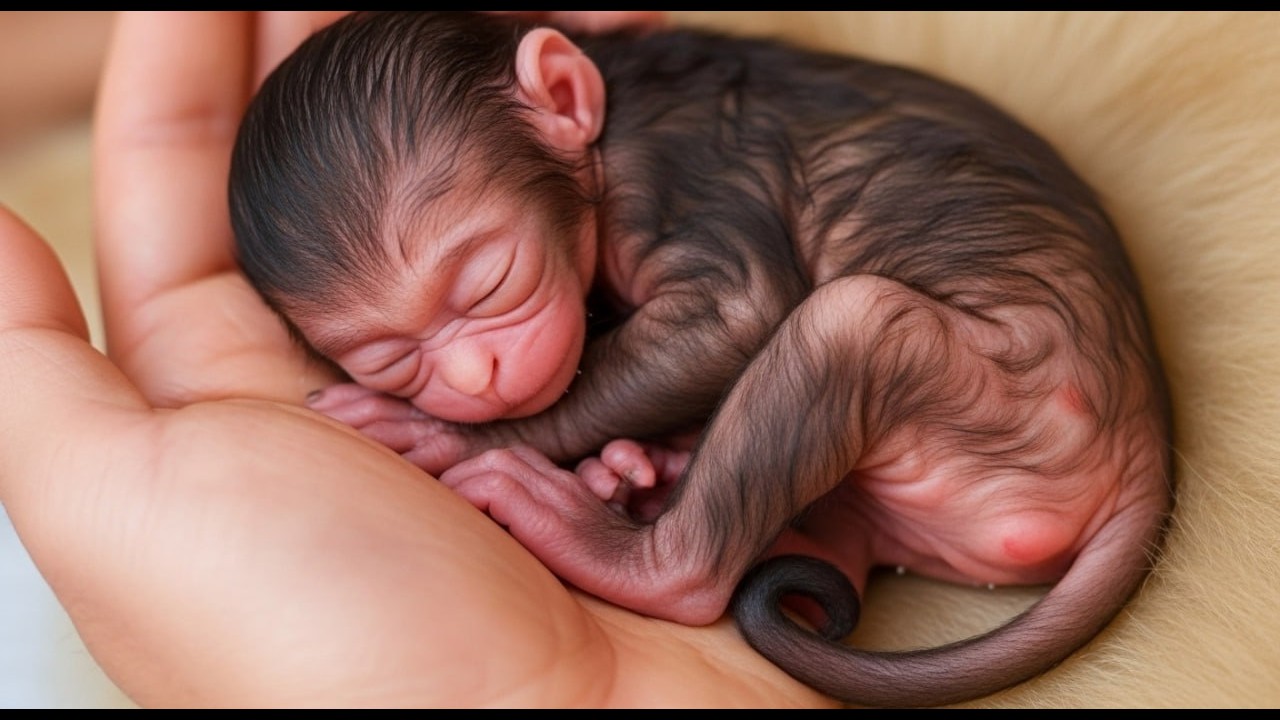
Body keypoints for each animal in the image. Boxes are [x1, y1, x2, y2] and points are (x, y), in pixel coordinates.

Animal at [228, 11, 1173, 708]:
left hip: (1017, 422)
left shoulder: (668, 172)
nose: (474, 383)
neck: (608, 108)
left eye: (492, 283)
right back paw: (645, 476)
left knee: (846, 327)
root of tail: (1149, 445)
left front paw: (453, 437)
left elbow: (735, 311)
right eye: (391, 359)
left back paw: (617, 543)